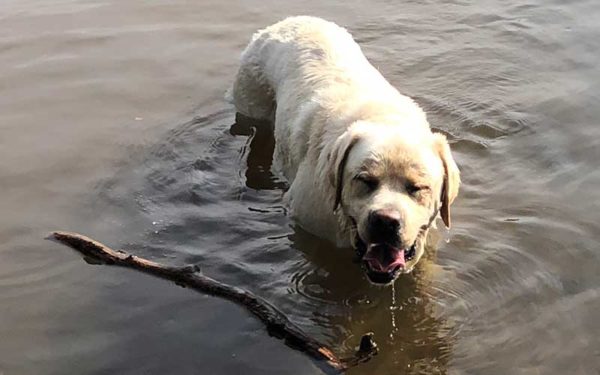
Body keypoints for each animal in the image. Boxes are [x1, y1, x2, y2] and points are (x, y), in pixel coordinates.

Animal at [227, 15, 462, 284]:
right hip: (251, 101)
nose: (385, 222)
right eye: (364, 180)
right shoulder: (309, 226)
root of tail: (286, 21)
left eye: (418, 188)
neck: (384, 118)